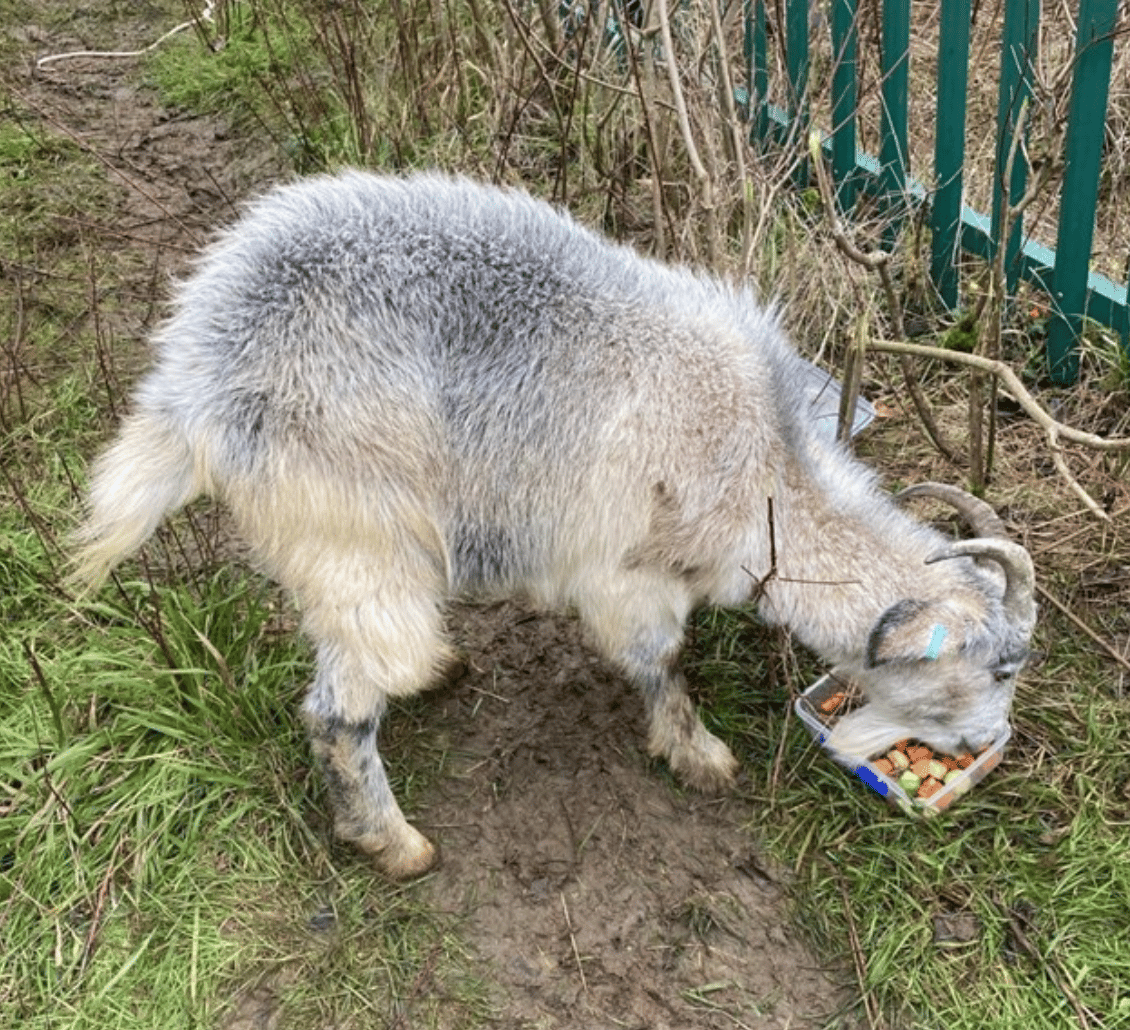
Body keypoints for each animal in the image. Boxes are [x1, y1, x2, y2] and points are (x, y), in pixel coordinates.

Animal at [72, 171, 1036, 878]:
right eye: (998, 670)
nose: (986, 747)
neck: (767, 476)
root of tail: (192, 382)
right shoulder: (624, 573)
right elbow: (661, 662)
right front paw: (698, 753)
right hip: (357, 535)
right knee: (337, 712)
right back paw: (397, 845)